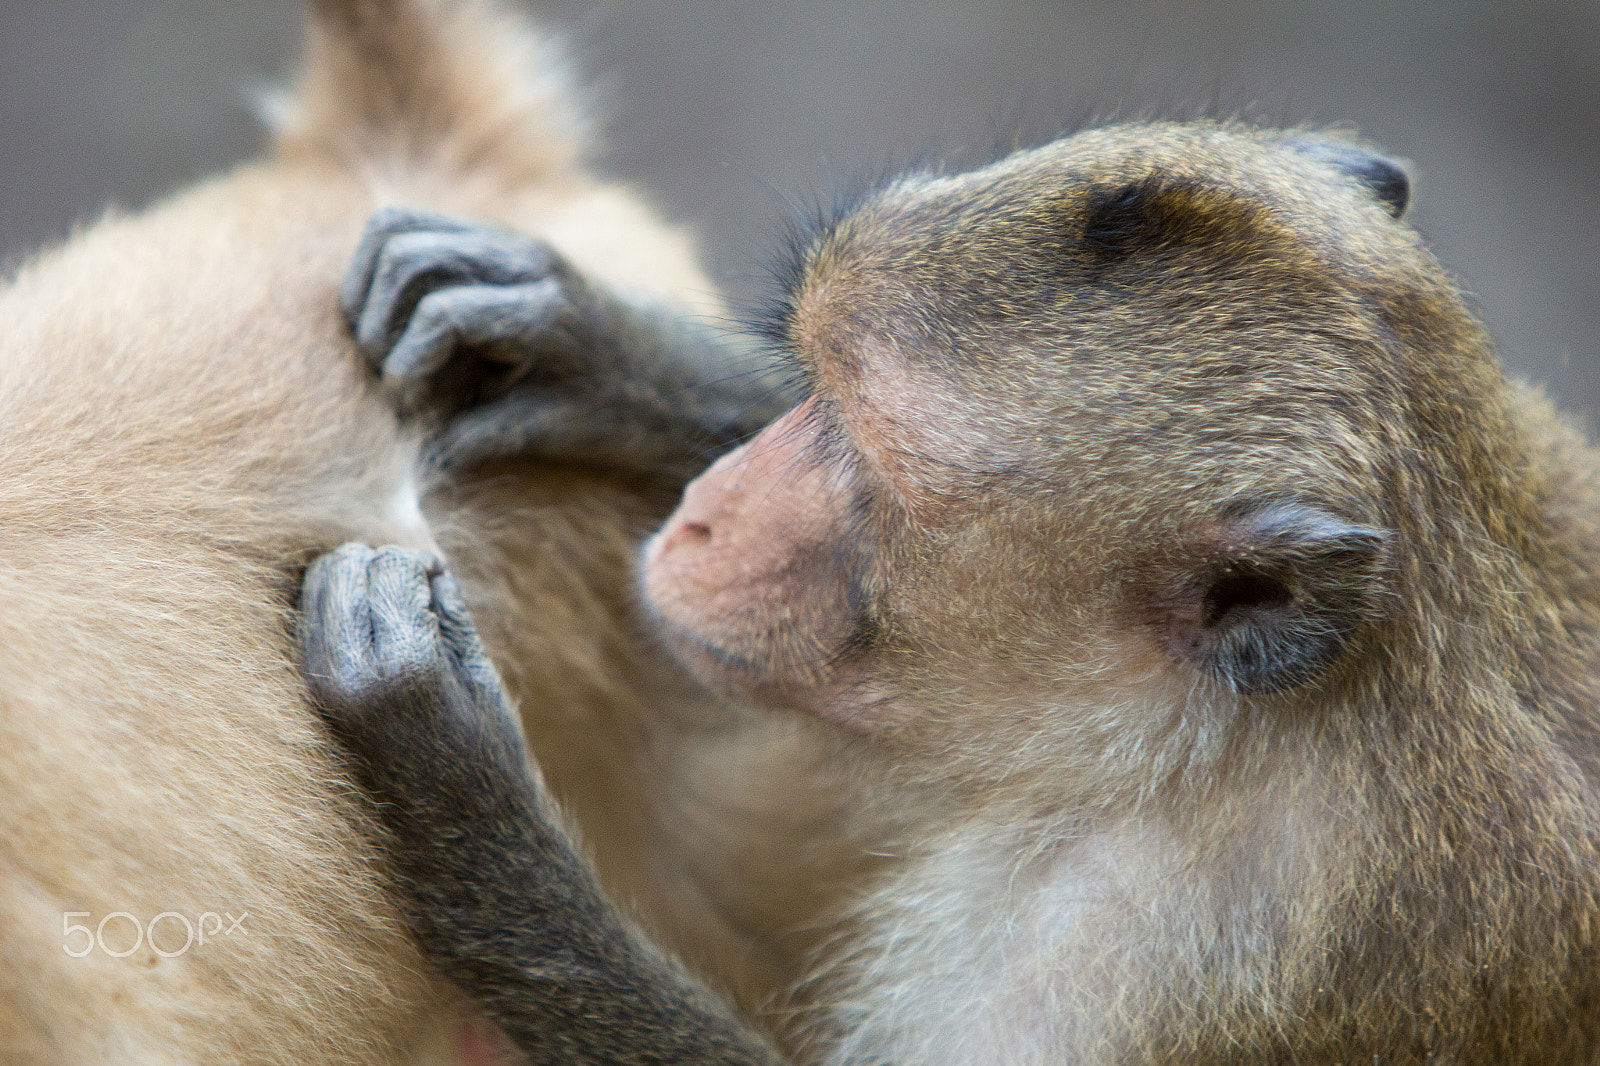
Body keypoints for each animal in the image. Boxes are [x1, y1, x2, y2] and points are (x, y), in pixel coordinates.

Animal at [304, 119, 1600, 1064]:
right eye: (814, 397)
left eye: (870, 477)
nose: (708, 511)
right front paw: (598, 348)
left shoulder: (1157, 960)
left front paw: (449, 775)